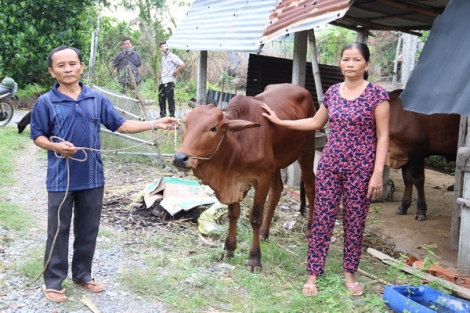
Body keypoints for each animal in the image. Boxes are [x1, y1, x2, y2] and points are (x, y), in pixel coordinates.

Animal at [173, 83, 316, 270]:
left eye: (213, 128)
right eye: (187, 124)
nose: (179, 158)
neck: (239, 144)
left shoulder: (262, 178)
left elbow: (255, 217)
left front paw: (254, 258)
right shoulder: (233, 182)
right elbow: (233, 214)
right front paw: (229, 249)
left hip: (307, 151)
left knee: (311, 187)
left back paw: (309, 229)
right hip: (276, 164)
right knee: (277, 190)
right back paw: (264, 232)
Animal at [390, 88, 458, 219]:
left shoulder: (416, 150)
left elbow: (418, 179)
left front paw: (421, 210)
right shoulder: (404, 153)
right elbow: (407, 179)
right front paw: (403, 206)